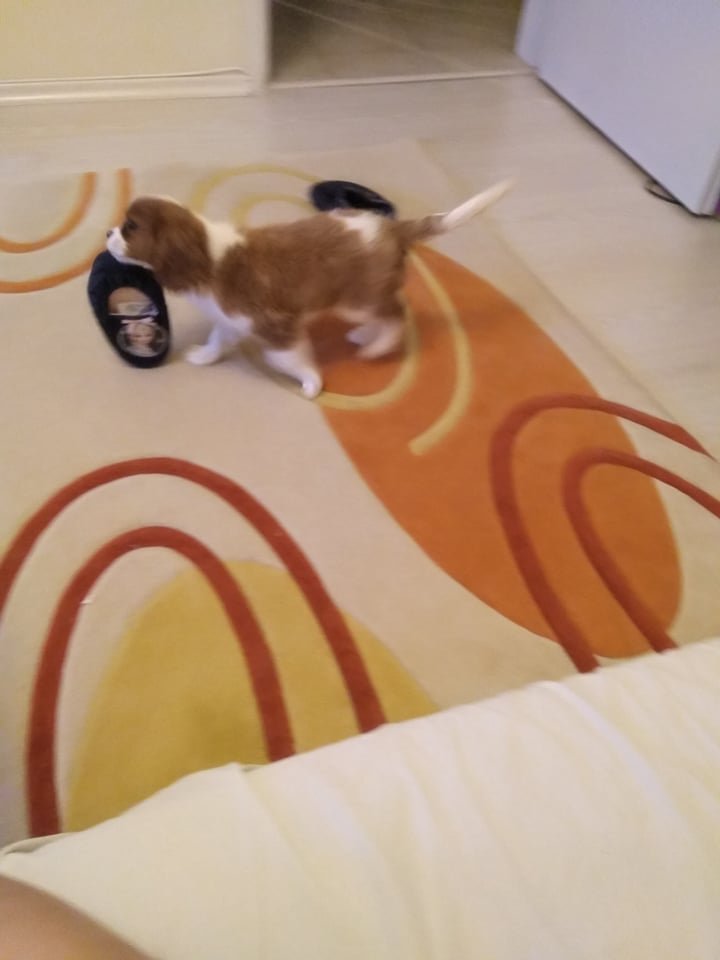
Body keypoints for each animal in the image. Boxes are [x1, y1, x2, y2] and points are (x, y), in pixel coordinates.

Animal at [106, 180, 513, 398]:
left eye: (130, 227)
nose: (107, 232)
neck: (207, 253)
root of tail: (391, 228)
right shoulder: (231, 319)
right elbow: (218, 339)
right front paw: (204, 357)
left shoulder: (275, 326)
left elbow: (285, 358)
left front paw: (311, 382)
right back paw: (365, 336)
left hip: (358, 298)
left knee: (397, 314)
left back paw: (376, 345)